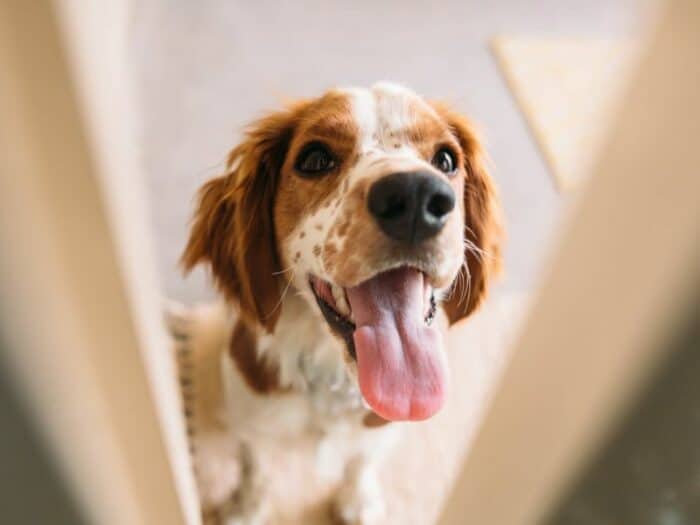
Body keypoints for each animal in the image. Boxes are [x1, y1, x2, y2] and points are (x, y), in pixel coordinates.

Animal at [179, 83, 498, 524]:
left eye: (446, 159)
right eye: (314, 159)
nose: (416, 195)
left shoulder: (379, 427)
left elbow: (361, 460)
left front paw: (358, 501)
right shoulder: (251, 412)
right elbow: (254, 464)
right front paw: (245, 507)